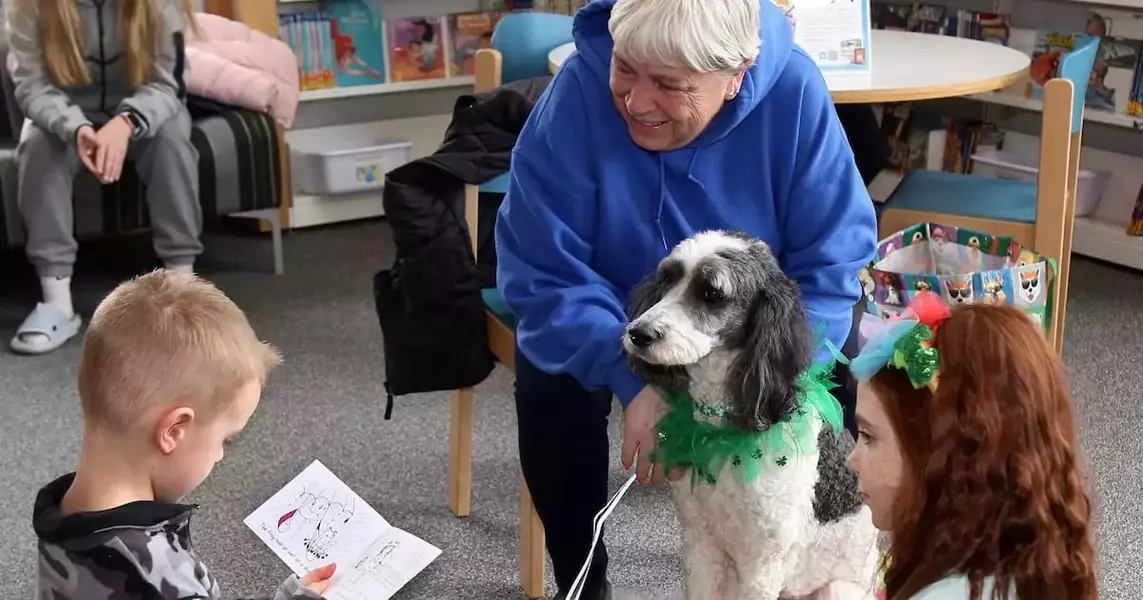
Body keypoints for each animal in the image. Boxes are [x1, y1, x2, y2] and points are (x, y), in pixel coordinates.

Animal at [621, 230, 877, 598]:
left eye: (713, 293)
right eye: (667, 278)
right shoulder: (700, 545)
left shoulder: (761, 567)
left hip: (838, 588)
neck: (722, 426)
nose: (638, 334)